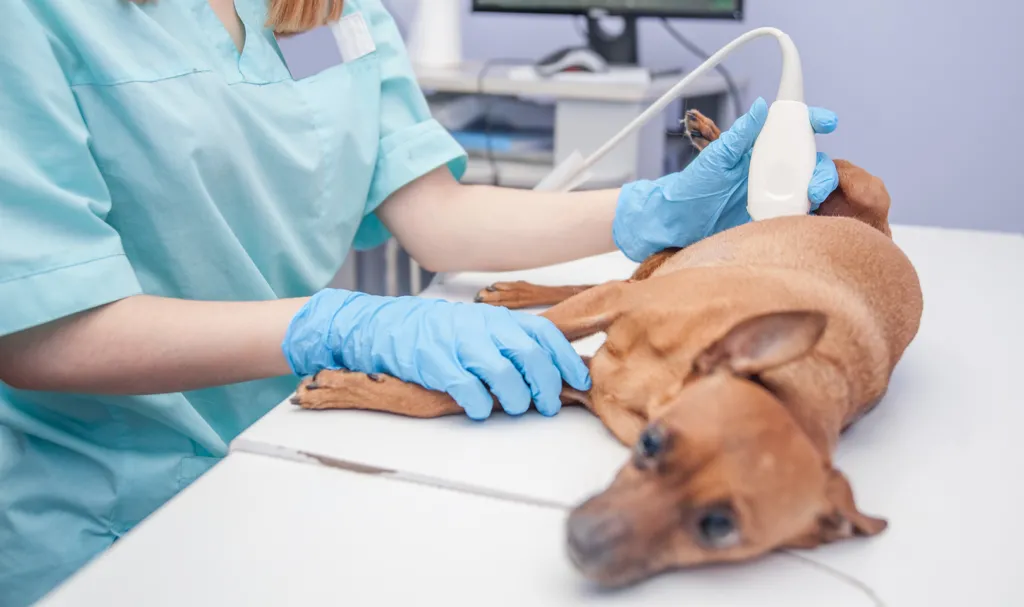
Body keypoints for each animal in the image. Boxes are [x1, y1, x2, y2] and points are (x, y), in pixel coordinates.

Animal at [292, 109, 925, 585]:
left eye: (717, 528)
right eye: (653, 446)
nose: (583, 545)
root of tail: (882, 234)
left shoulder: (572, 379)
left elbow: (447, 393)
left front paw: (359, 384)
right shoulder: (610, 315)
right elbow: (503, 348)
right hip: (850, 188)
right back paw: (721, 142)